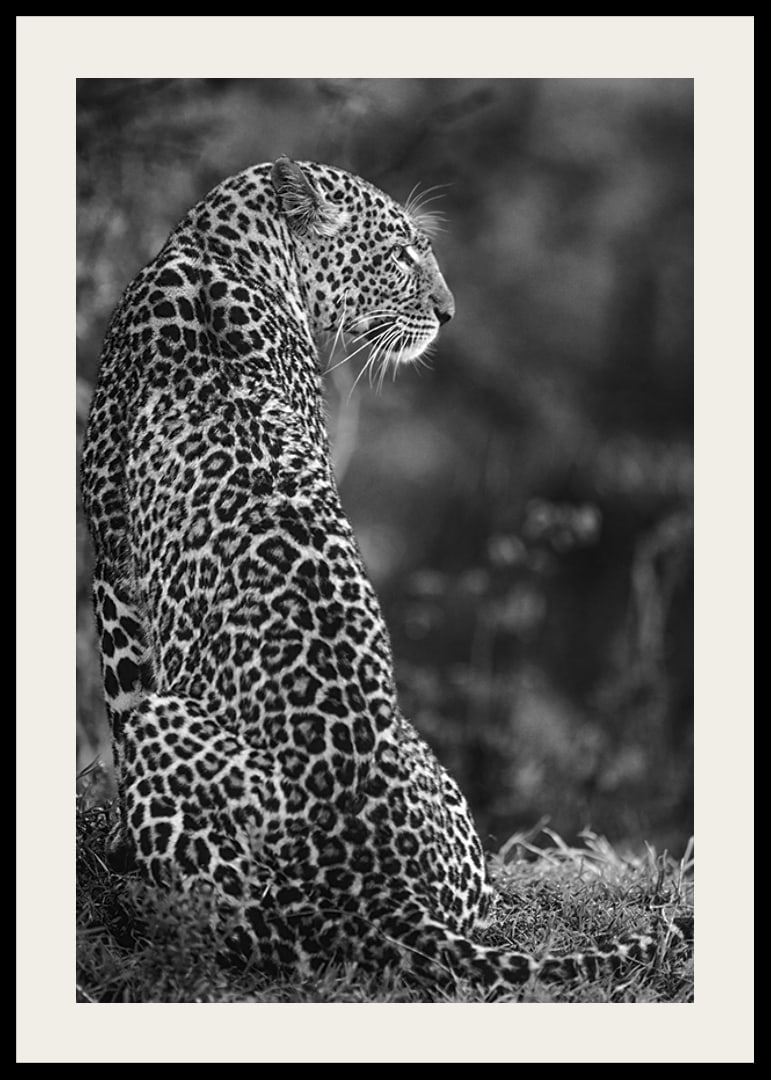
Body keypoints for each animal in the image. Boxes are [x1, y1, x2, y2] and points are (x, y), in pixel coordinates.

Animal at [81, 156, 653, 993]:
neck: (217, 248)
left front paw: (116, 843)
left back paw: (145, 900)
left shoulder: (111, 557)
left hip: (185, 754)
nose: (448, 314)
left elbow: (119, 699)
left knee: (238, 930)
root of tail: (390, 899)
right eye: (403, 253)